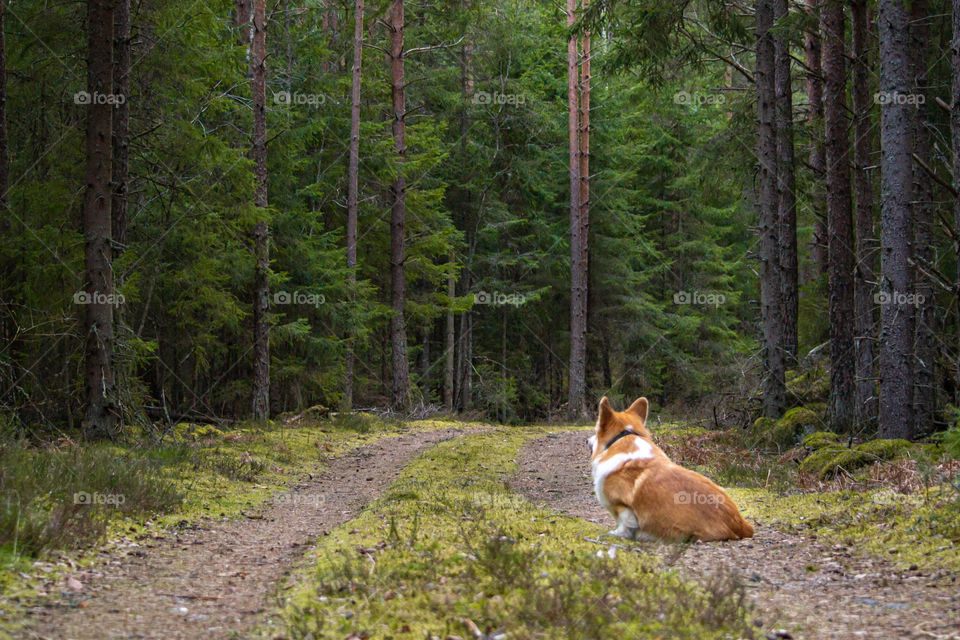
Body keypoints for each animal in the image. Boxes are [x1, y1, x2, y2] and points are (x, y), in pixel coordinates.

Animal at [588, 398, 752, 544]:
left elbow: (625, 524)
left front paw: (615, 534)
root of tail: (739, 523)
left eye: (596, 431)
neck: (623, 437)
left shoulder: (621, 506)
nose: (587, 441)